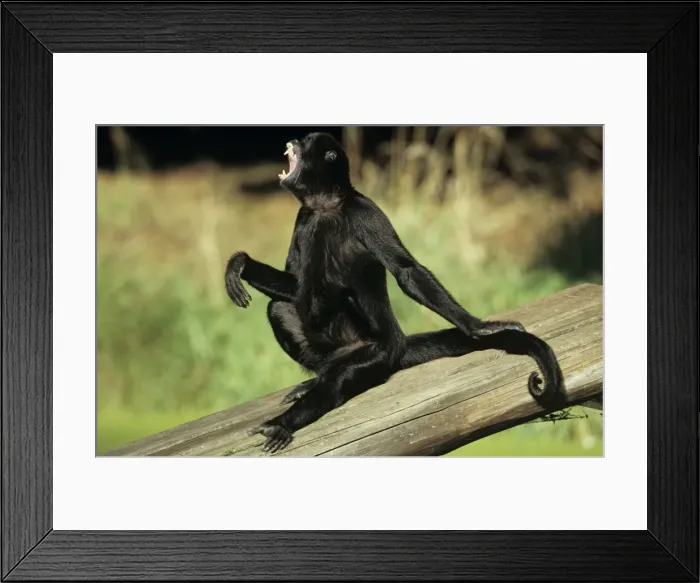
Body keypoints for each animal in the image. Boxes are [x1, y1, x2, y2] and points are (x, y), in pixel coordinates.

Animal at [225, 132, 565, 453]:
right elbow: (295, 284)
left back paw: (283, 423)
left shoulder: (365, 210)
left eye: (306, 142)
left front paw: (478, 326)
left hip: (375, 353)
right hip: (328, 350)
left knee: (337, 378)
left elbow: (406, 270)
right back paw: (313, 381)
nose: (294, 139)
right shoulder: (303, 218)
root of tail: (398, 343)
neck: (326, 207)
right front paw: (241, 264)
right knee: (280, 308)